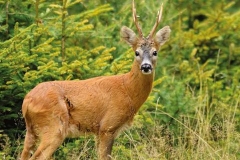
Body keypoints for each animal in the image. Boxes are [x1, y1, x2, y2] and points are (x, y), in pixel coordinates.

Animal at [20, 0, 171, 159]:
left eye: (155, 52)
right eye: (137, 52)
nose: (146, 66)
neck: (127, 90)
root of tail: (26, 101)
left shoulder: (99, 131)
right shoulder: (107, 126)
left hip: (32, 130)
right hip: (54, 126)